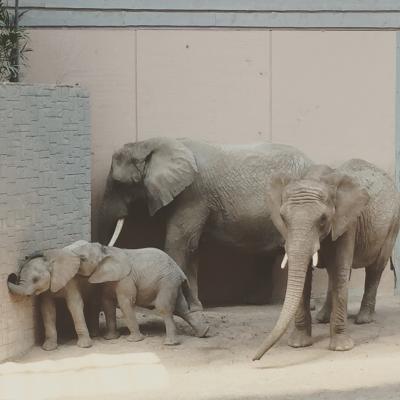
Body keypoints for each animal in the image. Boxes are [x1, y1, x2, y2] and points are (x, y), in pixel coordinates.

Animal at [70, 242, 209, 346]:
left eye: (83, 259)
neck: (106, 250)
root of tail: (180, 272)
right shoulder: (109, 279)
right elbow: (107, 303)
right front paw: (110, 338)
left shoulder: (126, 278)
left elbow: (125, 302)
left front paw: (133, 340)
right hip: (173, 283)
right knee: (182, 308)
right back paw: (203, 333)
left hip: (167, 281)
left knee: (164, 307)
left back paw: (170, 343)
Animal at [97, 138, 312, 310]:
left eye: (119, 183)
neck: (151, 143)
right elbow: (192, 247)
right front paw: (195, 306)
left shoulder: (193, 195)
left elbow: (179, 243)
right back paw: (254, 301)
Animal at [253, 161, 400, 360]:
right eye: (283, 218)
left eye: (323, 219)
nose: (254, 359)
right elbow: (306, 276)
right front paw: (298, 345)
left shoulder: (347, 223)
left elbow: (339, 270)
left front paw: (341, 348)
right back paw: (322, 318)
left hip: (392, 224)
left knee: (375, 268)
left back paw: (363, 319)